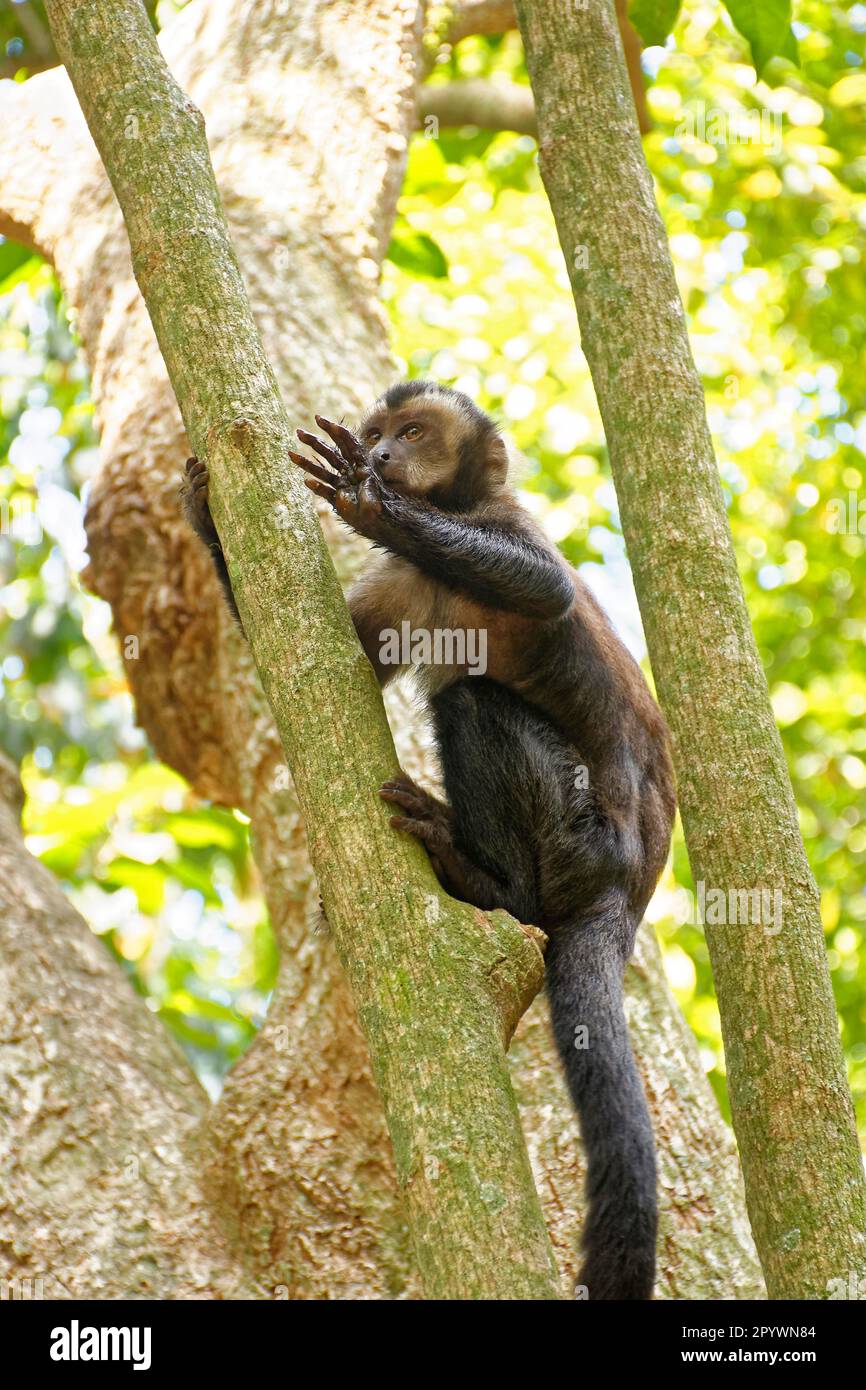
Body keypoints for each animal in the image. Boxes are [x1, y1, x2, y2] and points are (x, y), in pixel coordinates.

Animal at [180, 378, 678, 1289]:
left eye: (411, 434)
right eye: (381, 431)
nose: (380, 454)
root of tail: (629, 894)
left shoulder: (506, 522)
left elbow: (547, 589)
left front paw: (372, 504)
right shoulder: (406, 587)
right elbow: (313, 662)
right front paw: (204, 513)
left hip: (582, 838)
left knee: (470, 702)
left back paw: (488, 882)